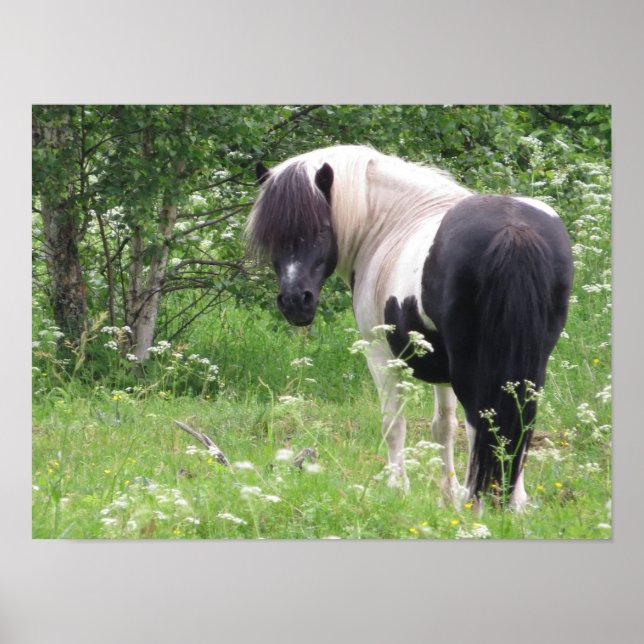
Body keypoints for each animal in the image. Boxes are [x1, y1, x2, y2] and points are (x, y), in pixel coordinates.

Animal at [246, 145, 573, 509]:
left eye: (320, 229)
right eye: (271, 235)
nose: (294, 302)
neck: (389, 222)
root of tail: (513, 230)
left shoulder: (380, 353)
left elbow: (394, 422)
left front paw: (397, 489)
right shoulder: (440, 364)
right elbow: (443, 426)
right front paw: (446, 497)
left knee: (481, 420)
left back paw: (478, 500)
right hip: (529, 361)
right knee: (519, 418)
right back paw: (512, 501)